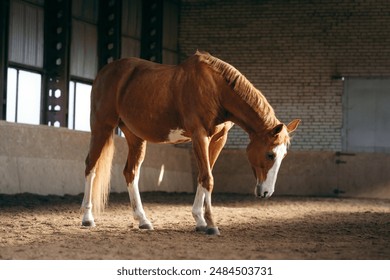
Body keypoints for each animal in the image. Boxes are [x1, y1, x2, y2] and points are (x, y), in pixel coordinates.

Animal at [80, 50, 300, 234]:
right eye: (270, 154)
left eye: (283, 156)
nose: (266, 192)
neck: (216, 89)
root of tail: (104, 72)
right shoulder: (199, 136)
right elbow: (207, 178)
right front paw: (211, 224)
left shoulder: (218, 139)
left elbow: (204, 175)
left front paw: (200, 221)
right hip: (101, 127)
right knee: (91, 166)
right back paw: (87, 217)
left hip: (135, 137)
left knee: (130, 173)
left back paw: (143, 220)